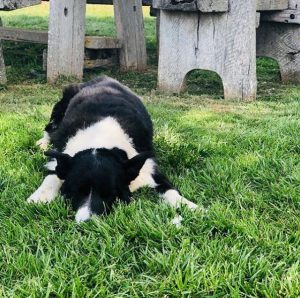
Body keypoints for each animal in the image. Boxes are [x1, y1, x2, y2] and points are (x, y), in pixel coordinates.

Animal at [27, 75, 198, 222]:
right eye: (77, 191)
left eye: (110, 194)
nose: (87, 221)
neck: (100, 138)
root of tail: (103, 77)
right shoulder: (60, 155)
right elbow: (52, 175)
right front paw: (39, 197)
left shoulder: (149, 167)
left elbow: (169, 190)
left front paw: (190, 206)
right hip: (59, 108)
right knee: (49, 128)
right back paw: (42, 142)